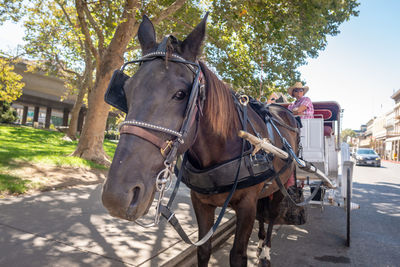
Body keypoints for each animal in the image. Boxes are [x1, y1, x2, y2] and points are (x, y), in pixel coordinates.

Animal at [101, 14, 300, 267]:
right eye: (125, 90)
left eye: (181, 94)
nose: (116, 197)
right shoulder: (201, 202)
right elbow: (204, 249)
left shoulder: (247, 204)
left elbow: (238, 255)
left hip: (282, 184)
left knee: (272, 214)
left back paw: (264, 251)